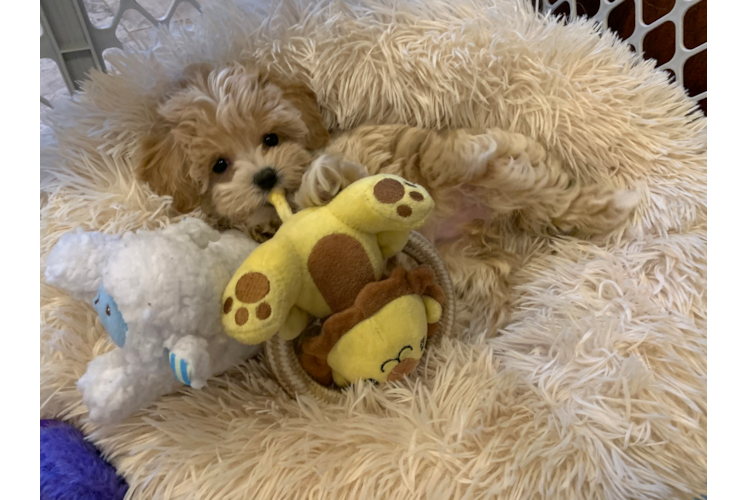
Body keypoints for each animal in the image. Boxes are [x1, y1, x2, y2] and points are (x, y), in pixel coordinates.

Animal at [136, 63, 636, 336]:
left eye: (271, 138)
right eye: (219, 165)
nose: (265, 176)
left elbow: (340, 175)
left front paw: (322, 182)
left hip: (456, 163)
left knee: (511, 180)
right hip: (462, 258)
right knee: (496, 269)